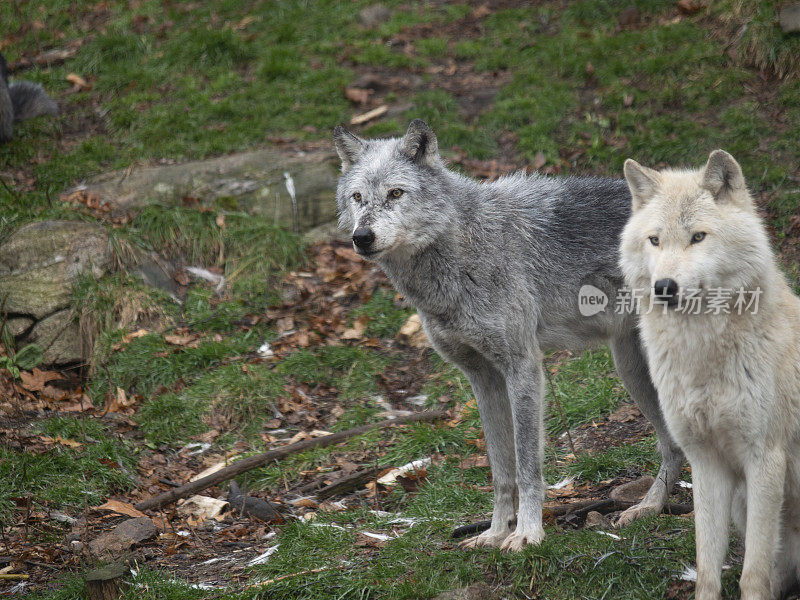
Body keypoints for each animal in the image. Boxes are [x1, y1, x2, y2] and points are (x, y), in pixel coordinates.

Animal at [334, 119, 684, 552]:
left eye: (396, 193)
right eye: (357, 197)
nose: (361, 237)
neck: (464, 248)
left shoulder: (523, 367)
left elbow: (527, 465)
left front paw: (528, 533)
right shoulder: (482, 378)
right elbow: (501, 470)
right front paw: (494, 532)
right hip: (631, 369)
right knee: (672, 446)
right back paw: (649, 508)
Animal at [620, 149, 800, 596]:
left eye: (698, 237)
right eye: (655, 240)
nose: (664, 287)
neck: (701, 356)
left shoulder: (765, 459)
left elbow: (752, 574)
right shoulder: (705, 462)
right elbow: (707, 565)